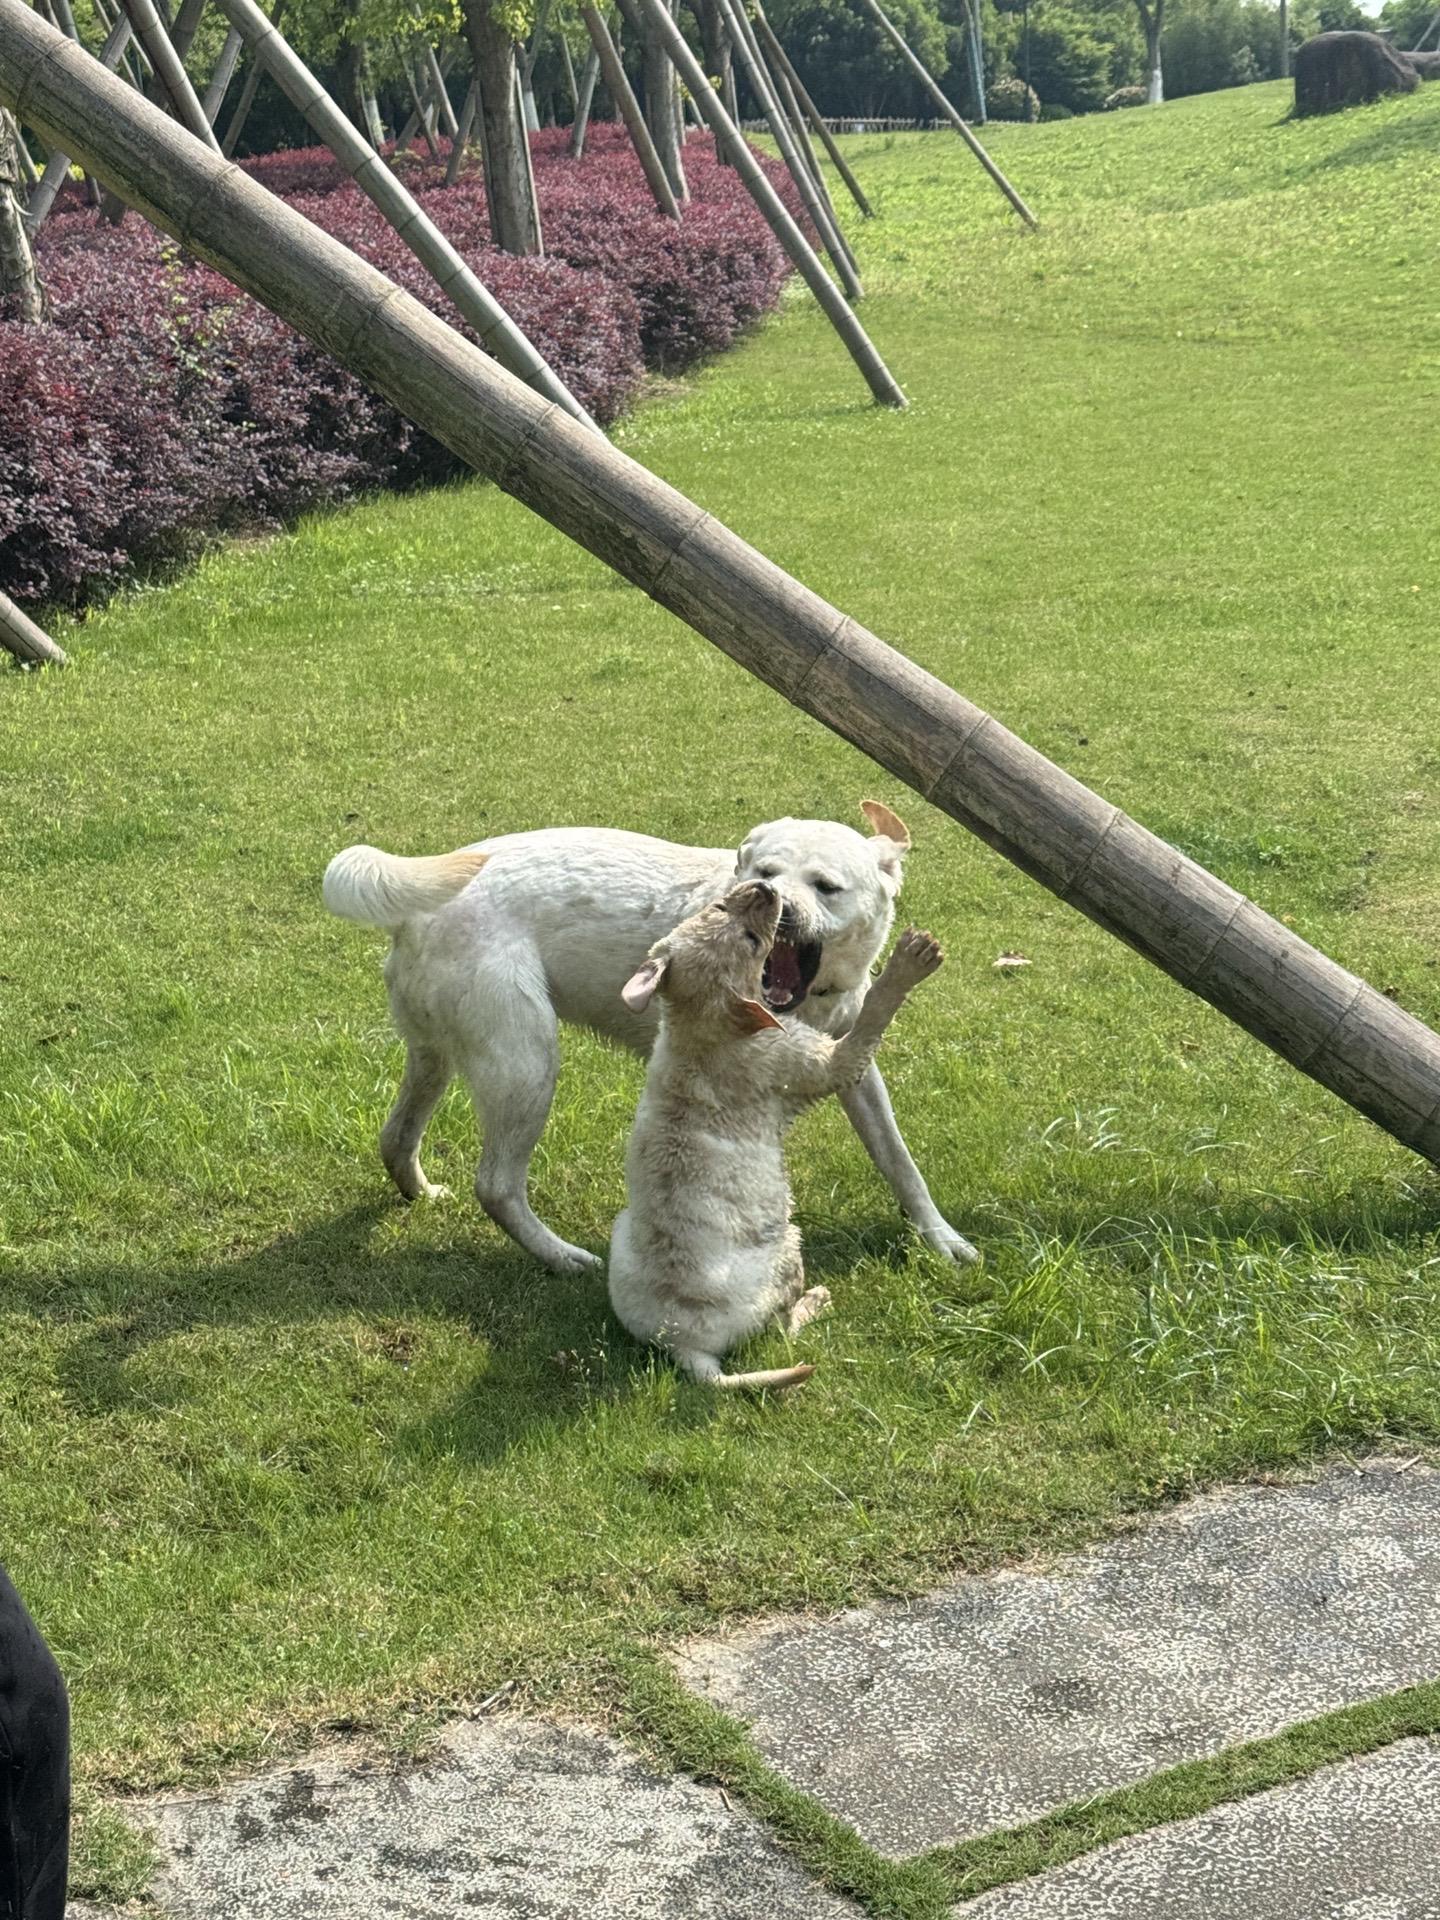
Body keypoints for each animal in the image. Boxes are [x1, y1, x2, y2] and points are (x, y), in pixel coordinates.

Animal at [323, 804, 976, 1273]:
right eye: (766, 873)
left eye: (826, 886)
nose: (780, 904)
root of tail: (415, 908)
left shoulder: (856, 1069)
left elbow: (899, 1159)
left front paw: (940, 1238)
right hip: (527, 1065)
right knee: (497, 1186)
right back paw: (563, 1258)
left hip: (436, 1056)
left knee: (396, 1136)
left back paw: (420, 1192)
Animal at [608, 882, 944, 1388]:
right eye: (751, 942)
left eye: (718, 906)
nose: (766, 887)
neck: (698, 1026)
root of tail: (685, 1348)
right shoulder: (800, 1058)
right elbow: (863, 1030)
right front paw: (908, 962)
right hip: (786, 1249)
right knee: (783, 1331)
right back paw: (817, 1300)